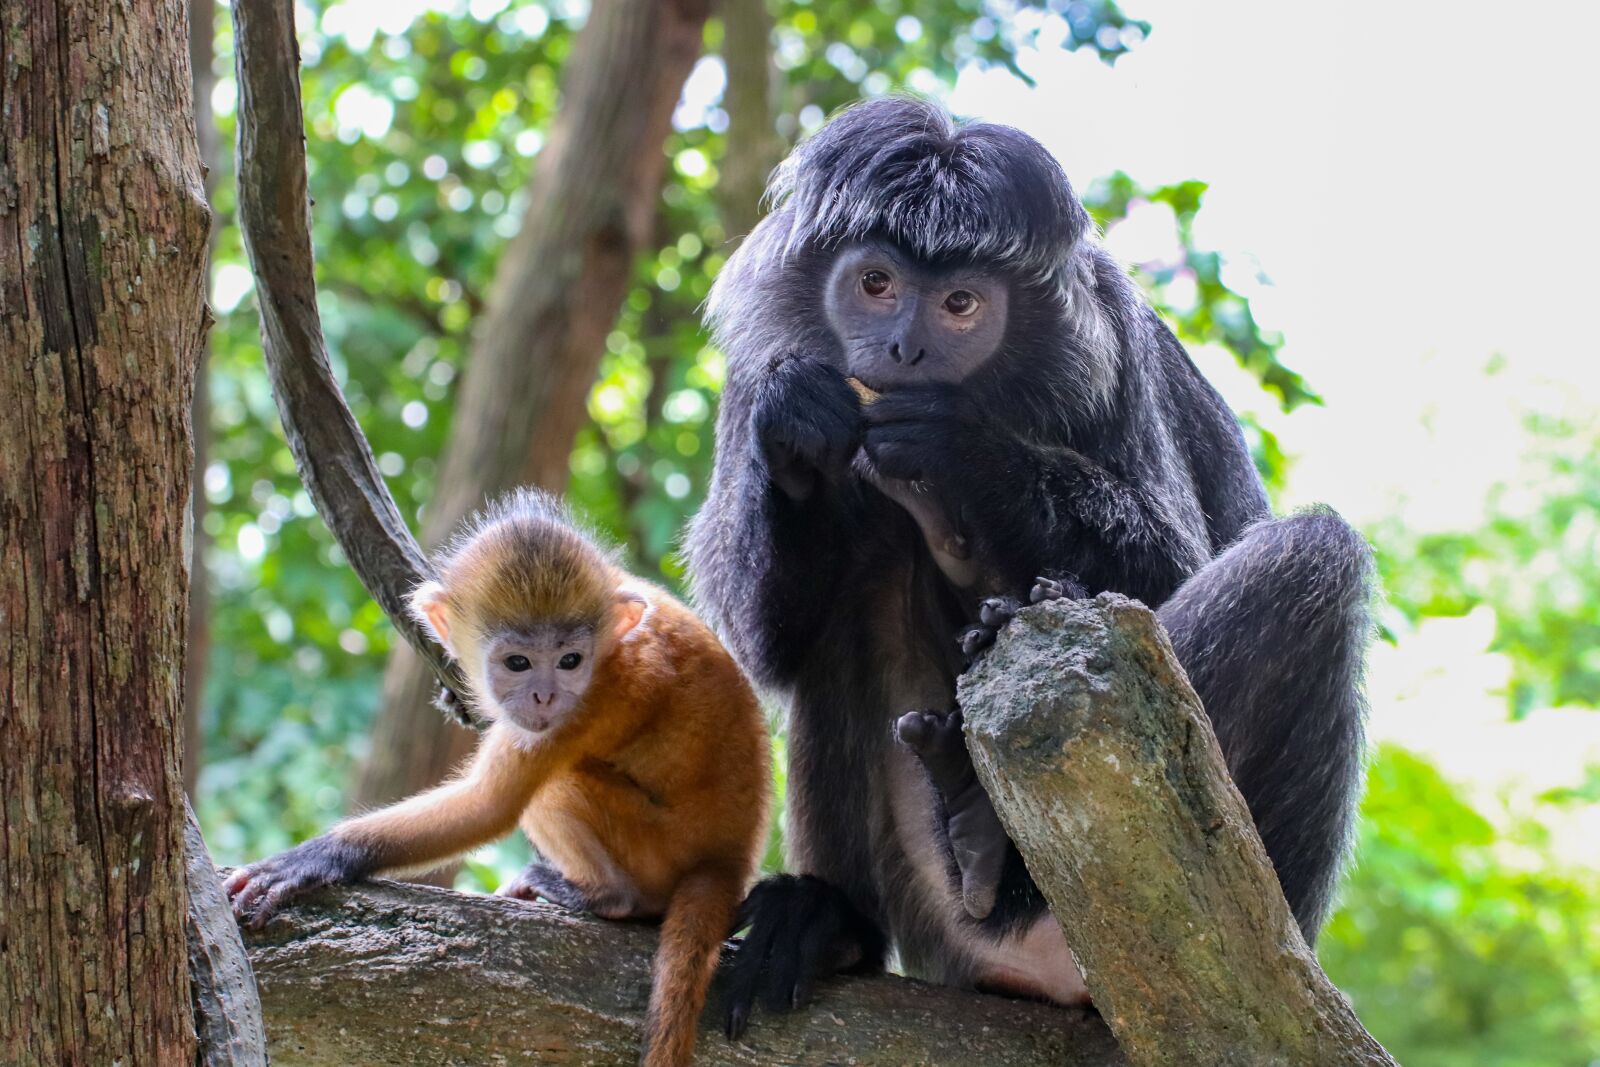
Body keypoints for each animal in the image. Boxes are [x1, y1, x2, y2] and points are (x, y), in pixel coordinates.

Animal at [224, 489, 770, 1067]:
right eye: (518, 662)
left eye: (570, 660)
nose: (545, 696)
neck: (611, 650)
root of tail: (728, 860)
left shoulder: (593, 702)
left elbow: (490, 807)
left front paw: (314, 859)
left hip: (658, 850)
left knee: (556, 789)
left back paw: (608, 897)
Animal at [685, 97, 1373, 1033]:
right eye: (876, 284)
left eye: (960, 302)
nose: (901, 351)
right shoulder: (753, 367)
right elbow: (766, 640)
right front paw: (800, 428)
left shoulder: (1113, 338)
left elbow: (1172, 566)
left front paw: (965, 451)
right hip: (935, 914)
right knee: (858, 584)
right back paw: (835, 918)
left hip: (1266, 910)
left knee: (1314, 555)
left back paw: (991, 837)